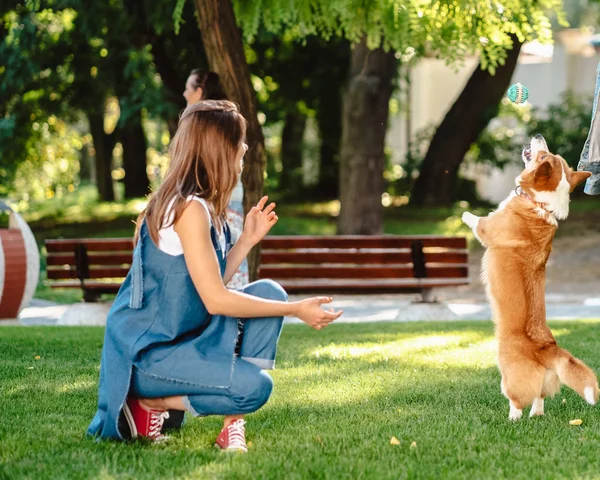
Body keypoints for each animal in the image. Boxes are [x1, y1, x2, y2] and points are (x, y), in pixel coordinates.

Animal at [462, 134, 596, 420]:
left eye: (543, 156)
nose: (538, 136)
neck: (539, 203)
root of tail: (547, 348)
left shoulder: (487, 228)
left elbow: (478, 222)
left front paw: (464, 213)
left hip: (508, 377)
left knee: (517, 400)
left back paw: (513, 419)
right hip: (545, 381)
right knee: (540, 397)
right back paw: (536, 415)